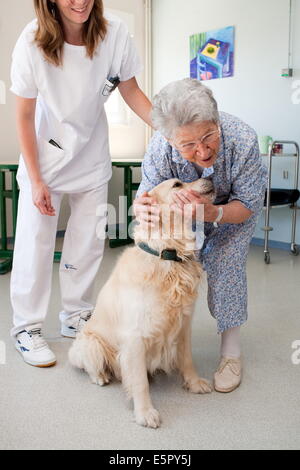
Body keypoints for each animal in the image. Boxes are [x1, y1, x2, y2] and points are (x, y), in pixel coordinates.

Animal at [69, 178, 216, 428]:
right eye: (177, 184)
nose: (210, 178)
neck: (168, 254)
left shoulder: (184, 324)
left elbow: (187, 359)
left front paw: (194, 383)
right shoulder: (135, 337)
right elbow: (139, 381)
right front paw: (145, 413)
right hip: (90, 344)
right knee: (91, 365)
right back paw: (100, 376)